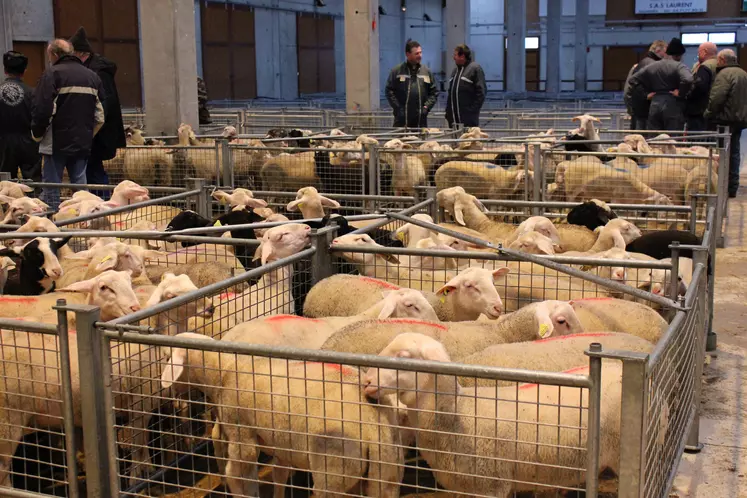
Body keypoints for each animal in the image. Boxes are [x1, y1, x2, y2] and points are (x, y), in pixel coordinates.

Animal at [161, 330, 406, 498]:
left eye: (167, 358)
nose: (168, 391)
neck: (224, 371)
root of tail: (374, 420)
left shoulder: (241, 432)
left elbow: (237, 474)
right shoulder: (280, 442)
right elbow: (278, 474)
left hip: (334, 469)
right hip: (387, 471)